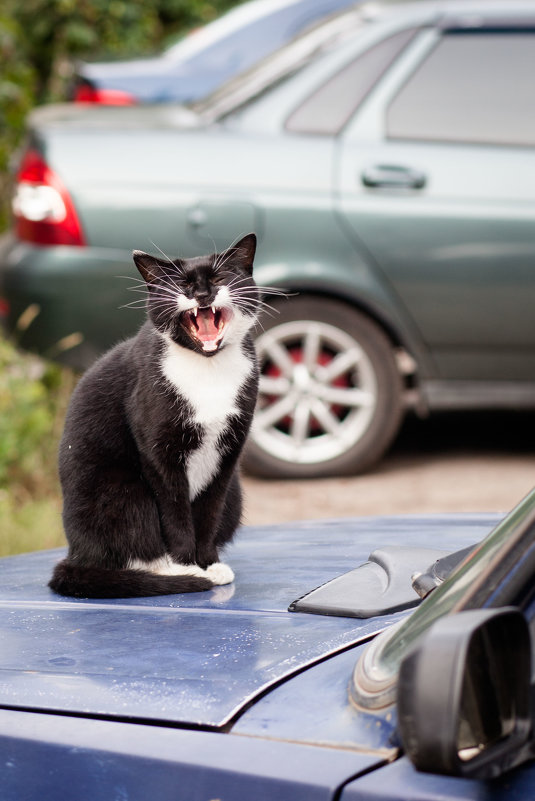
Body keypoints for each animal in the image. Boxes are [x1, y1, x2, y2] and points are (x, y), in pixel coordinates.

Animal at [49, 231, 262, 592]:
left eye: (220, 278)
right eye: (181, 284)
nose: (202, 295)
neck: (208, 369)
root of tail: (77, 553)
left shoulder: (229, 453)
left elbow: (209, 510)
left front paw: (208, 562)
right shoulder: (158, 449)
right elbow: (175, 513)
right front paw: (189, 565)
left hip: (236, 493)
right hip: (121, 492)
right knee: (135, 545)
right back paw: (172, 573)